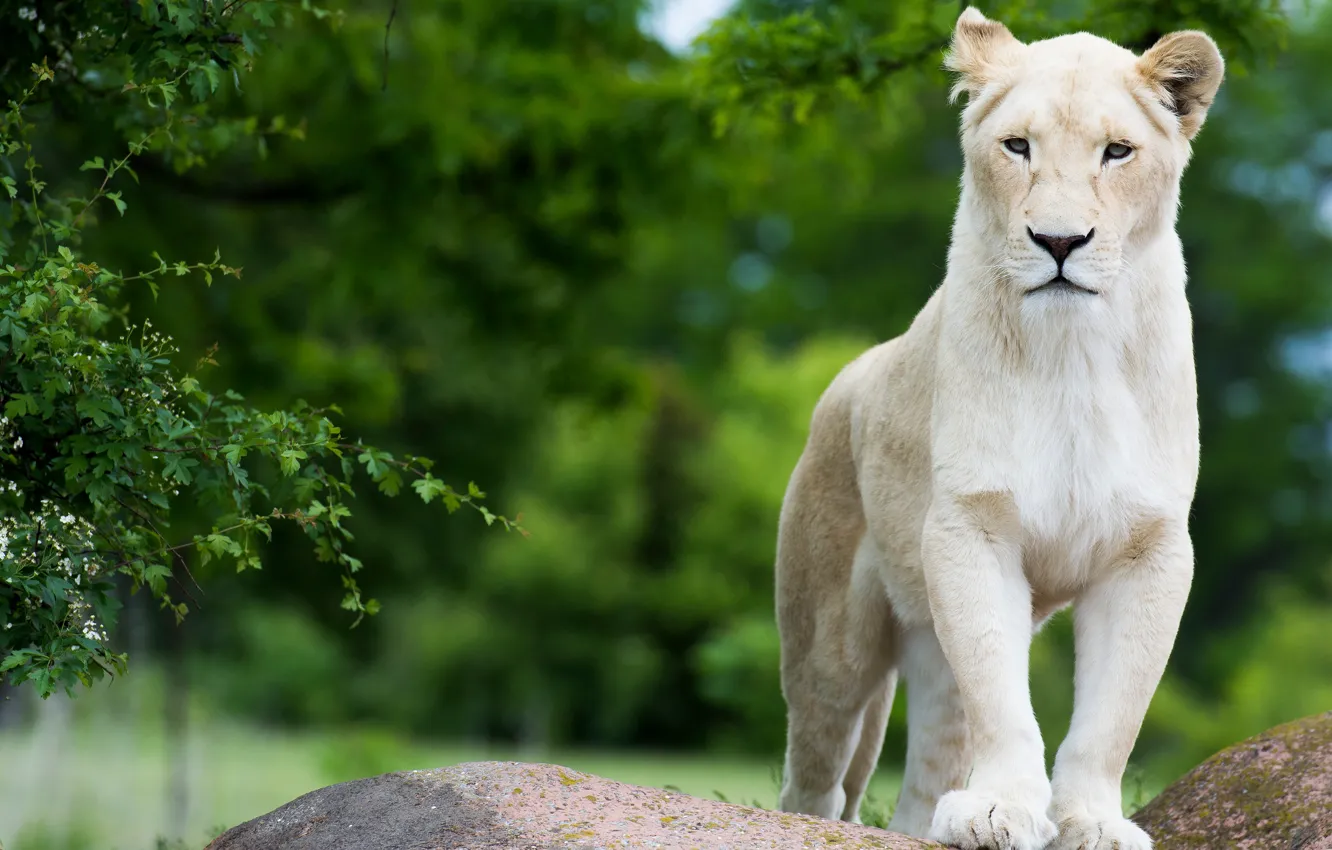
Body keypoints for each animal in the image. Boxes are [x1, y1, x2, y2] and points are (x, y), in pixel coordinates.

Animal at [773, 8, 1223, 850]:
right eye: (1018, 147)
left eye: (1117, 152)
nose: (1059, 242)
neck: (1074, 354)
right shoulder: (971, 525)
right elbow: (1002, 697)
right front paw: (999, 810)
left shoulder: (1149, 548)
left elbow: (1112, 715)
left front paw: (1092, 822)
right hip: (830, 648)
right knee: (815, 777)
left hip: (923, 642)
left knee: (921, 771)